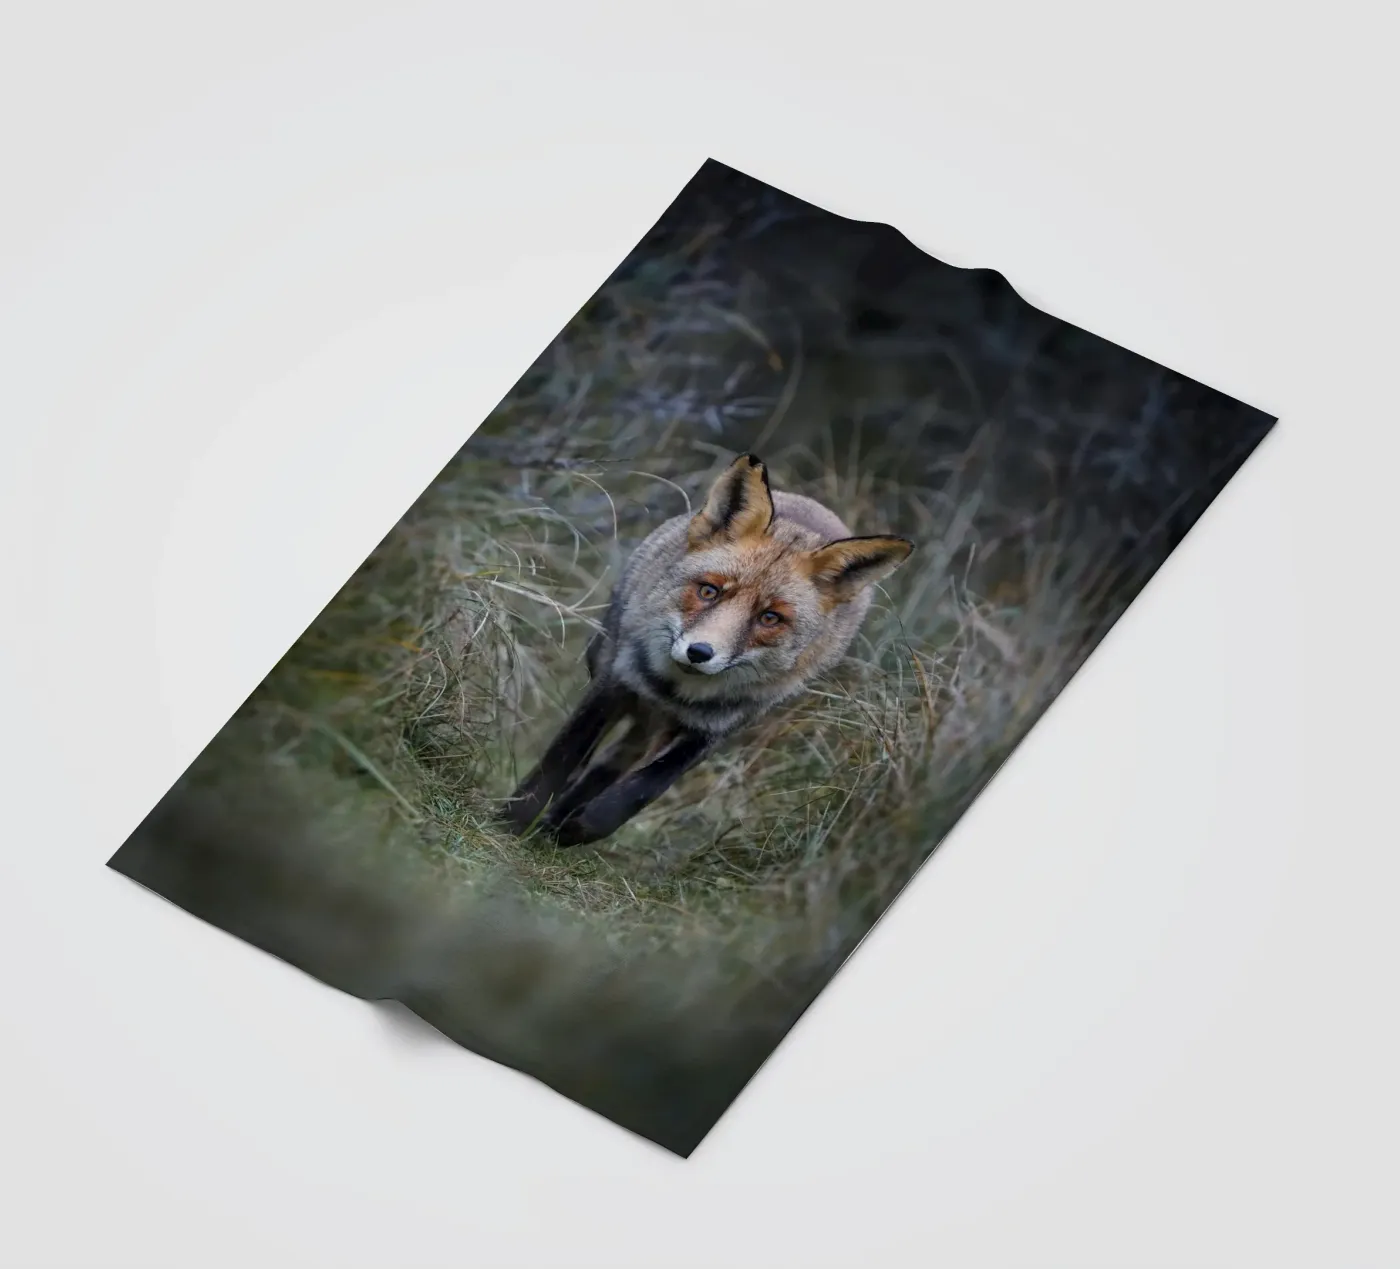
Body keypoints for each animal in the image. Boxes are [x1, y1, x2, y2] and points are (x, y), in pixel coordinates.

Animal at [502, 453, 914, 847]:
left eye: (770, 617)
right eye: (708, 591)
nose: (699, 652)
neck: (673, 692)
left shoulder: (714, 729)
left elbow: (643, 789)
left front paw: (580, 827)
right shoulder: (615, 682)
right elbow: (560, 760)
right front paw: (511, 823)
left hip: (658, 729)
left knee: (614, 764)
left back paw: (561, 821)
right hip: (610, 665)